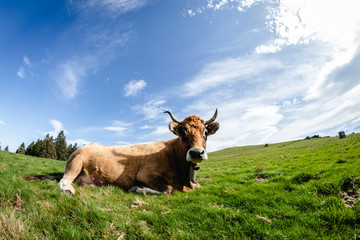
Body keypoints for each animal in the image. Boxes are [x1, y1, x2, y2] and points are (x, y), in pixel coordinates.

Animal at [58, 109, 219, 196]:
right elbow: (169, 189)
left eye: (205, 132)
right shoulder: (145, 174)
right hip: (76, 163)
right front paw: (137, 189)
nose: (197, 152)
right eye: (183, 132)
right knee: (64, 181)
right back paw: (69, 190)